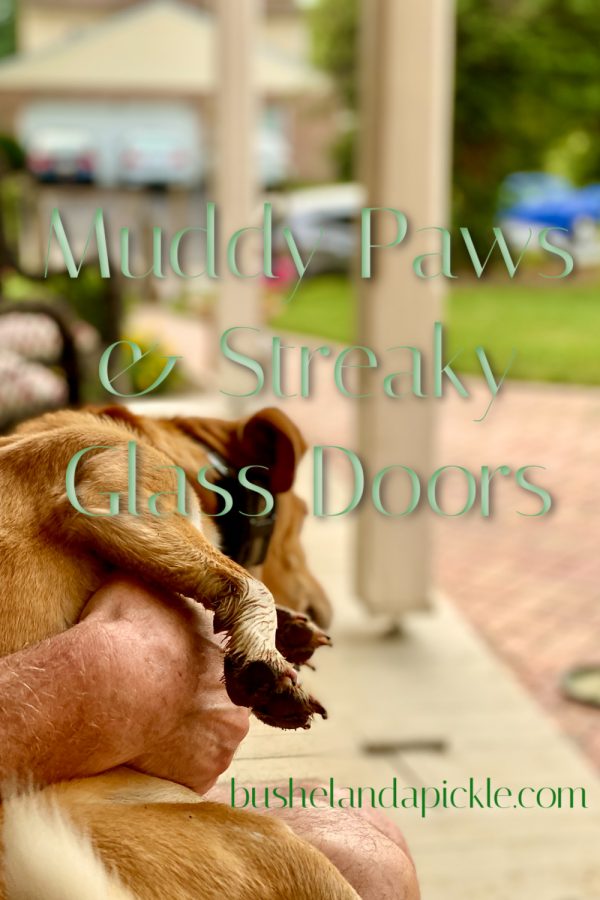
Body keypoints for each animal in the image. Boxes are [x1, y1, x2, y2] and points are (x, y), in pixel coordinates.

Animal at [0, 406, 356, 900]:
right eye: (302, 518)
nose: (324, 610)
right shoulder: (117, 490)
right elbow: (248, 582)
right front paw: (264, 656)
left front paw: (287, 634)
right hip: (280, 849)